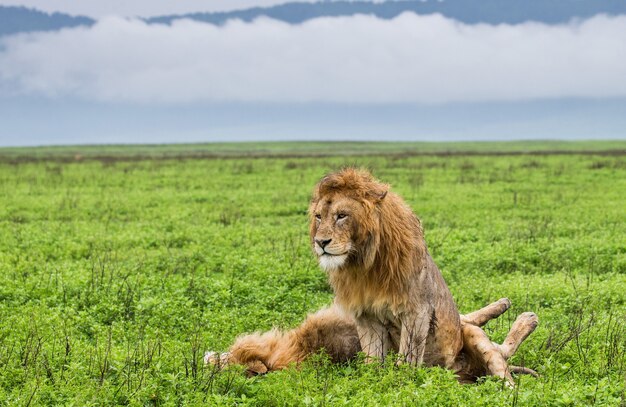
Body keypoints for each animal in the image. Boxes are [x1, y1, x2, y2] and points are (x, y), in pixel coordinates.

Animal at [206, 167, 536, 384]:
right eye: (318, 217)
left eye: (341, 215)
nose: (321, 242)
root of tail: (464, 369)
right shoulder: (363, 315)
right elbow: (376, 360)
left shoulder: (415, 308)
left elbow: (408, 356)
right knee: (498, 349)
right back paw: (522, 317)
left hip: (470, 339)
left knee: (500, 359)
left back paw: (518, 314)